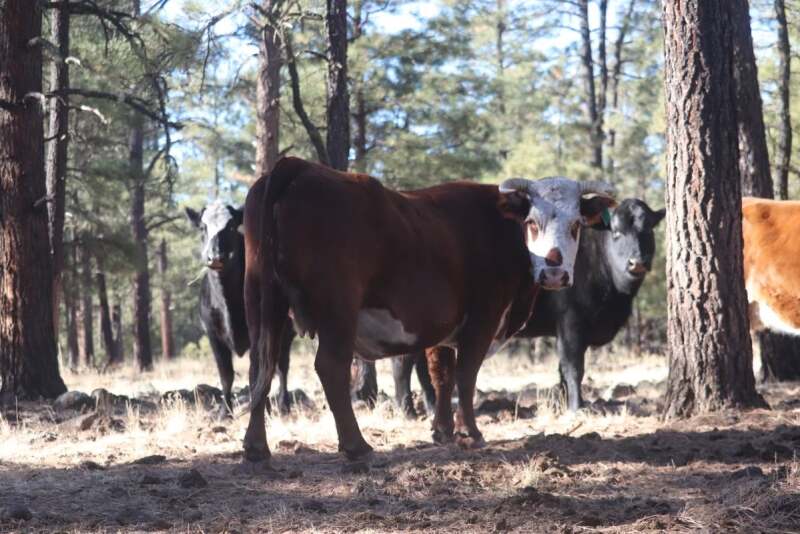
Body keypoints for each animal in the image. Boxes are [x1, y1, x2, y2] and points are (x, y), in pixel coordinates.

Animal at [185, 201, 292, 414]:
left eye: (232, 227)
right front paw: (224, 412)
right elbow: (226, 375)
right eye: (202, 227)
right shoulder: (213, 335)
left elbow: (257, 373)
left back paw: (283, 403)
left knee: (282, 366)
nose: (215, 257)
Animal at [241, 156, 616, 466]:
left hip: (262, 303)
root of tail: (298, 166)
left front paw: (443, 430)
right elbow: (465, 375)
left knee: (261, 366)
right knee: (330, 367)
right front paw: (470, 433)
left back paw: (256, 447)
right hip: (338, 309)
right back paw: (356, 445)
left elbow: (442, 376)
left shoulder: (443, 327)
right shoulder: (483, 317)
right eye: (532, 222)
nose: (554, 272)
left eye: (576, 224)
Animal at [392, 198, 665, 415]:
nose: (637, 262)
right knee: (402, 364)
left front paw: (564, 402)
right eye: (616, 232)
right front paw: (577, 407)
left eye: (648, 230)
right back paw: (408, 411)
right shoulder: (571, 323)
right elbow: (574, 367)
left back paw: (430, 407)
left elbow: (562, 370)